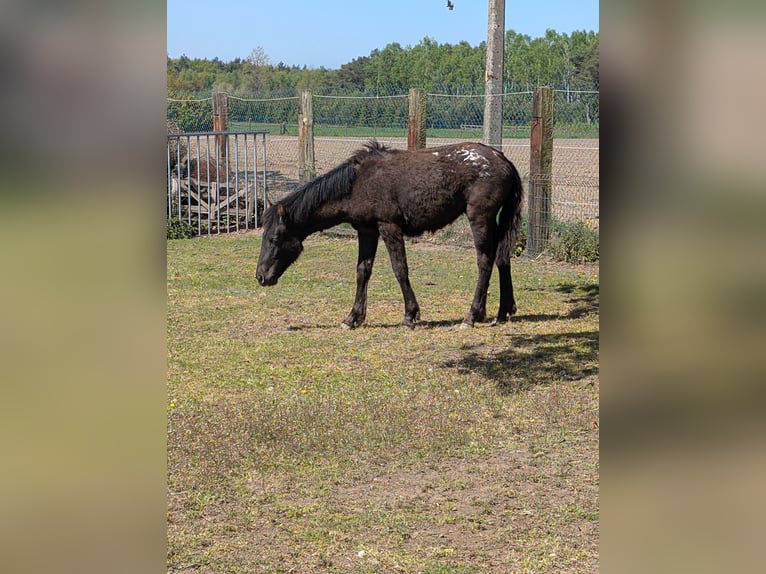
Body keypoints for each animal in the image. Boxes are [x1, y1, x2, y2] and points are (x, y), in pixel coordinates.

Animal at [256, 141, 524, 328]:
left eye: (273, 239)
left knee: (485, 261)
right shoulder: (367, 231)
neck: (358, 183)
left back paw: (472, 315)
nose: (260, 276)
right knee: (502, 258)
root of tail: (503, 160)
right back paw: (502, 312)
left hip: (480, 218)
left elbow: (400, 269)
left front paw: (410, 315)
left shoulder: (389, 227)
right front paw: (352, 318)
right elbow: (362, 272)